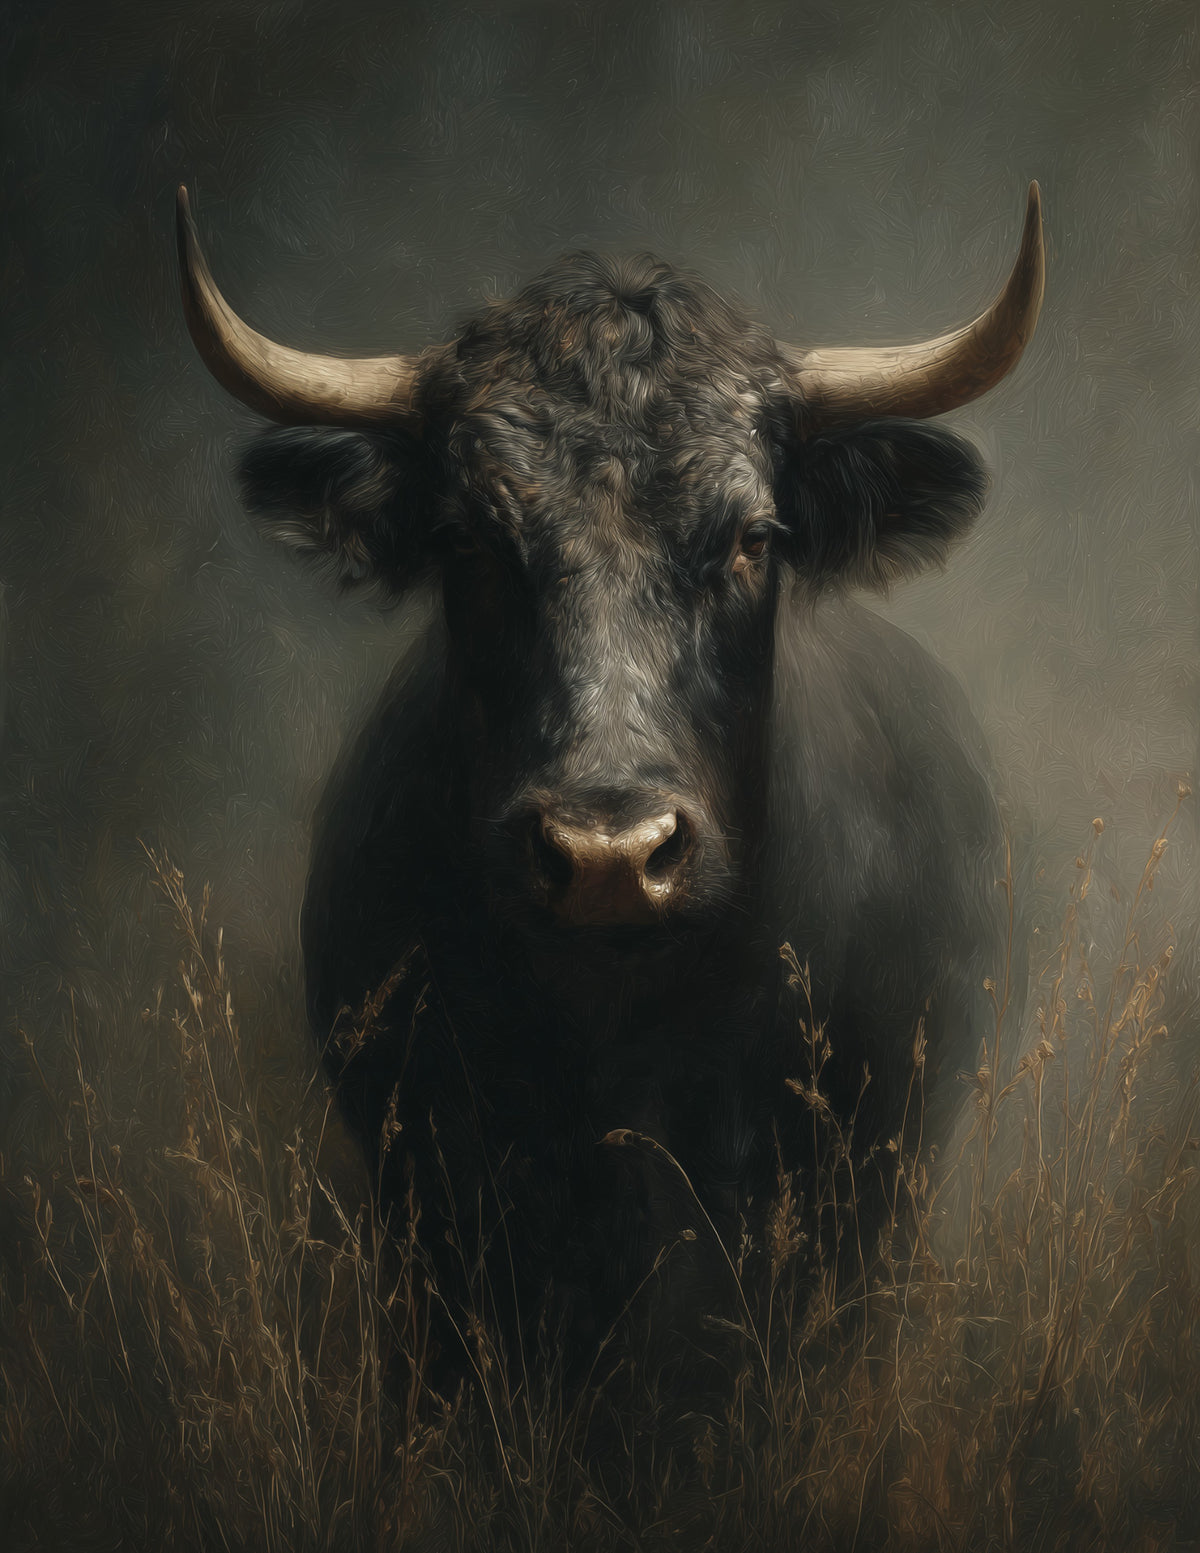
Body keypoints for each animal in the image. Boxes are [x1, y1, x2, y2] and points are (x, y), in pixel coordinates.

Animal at [176, 183, 1043, 1392]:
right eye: (469, 539)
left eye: (751, 536)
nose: (607, 856)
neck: (616, 1027)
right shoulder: (429, 1182)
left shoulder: (839, 1179)